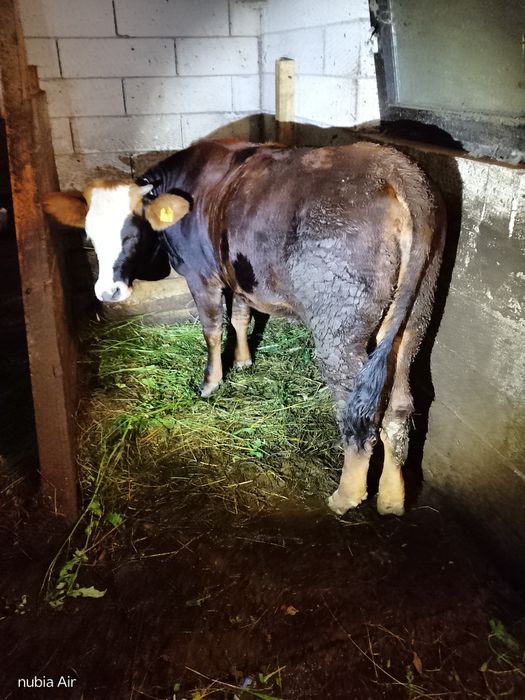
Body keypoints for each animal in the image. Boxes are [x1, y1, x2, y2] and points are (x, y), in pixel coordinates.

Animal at [43, 139, 446, 517]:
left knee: (356, 407)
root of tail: (394, 169)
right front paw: (242, 360)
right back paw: (392, 498)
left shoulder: (201, 275)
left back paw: (345, 495)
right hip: (415, 316)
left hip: (339, 327)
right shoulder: (236, 274)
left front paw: (210, 382)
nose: (107, 292)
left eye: (132, 233)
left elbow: (212, 329)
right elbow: (240, 316)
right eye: (89, 236)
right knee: (398, 405)